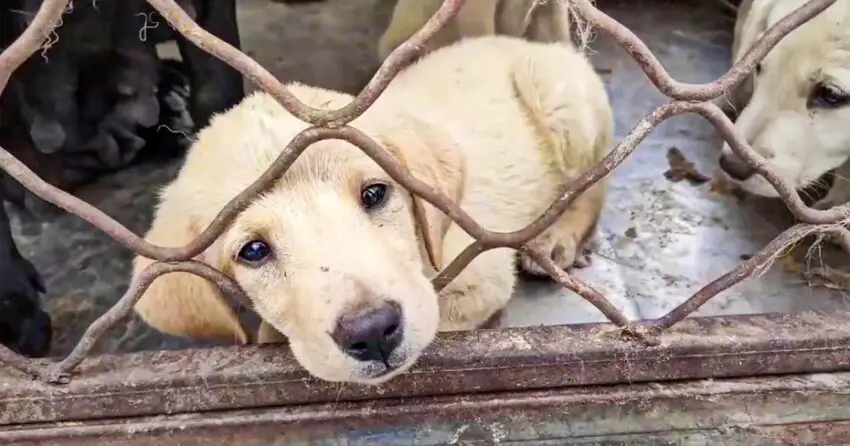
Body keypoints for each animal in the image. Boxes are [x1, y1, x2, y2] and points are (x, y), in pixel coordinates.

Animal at [131, 35, 608, 384]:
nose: (373, 331)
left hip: (559, 98)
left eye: (375, 194)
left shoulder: (481, 275)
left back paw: (558, 239)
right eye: (253, 250)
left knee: (593, 179)